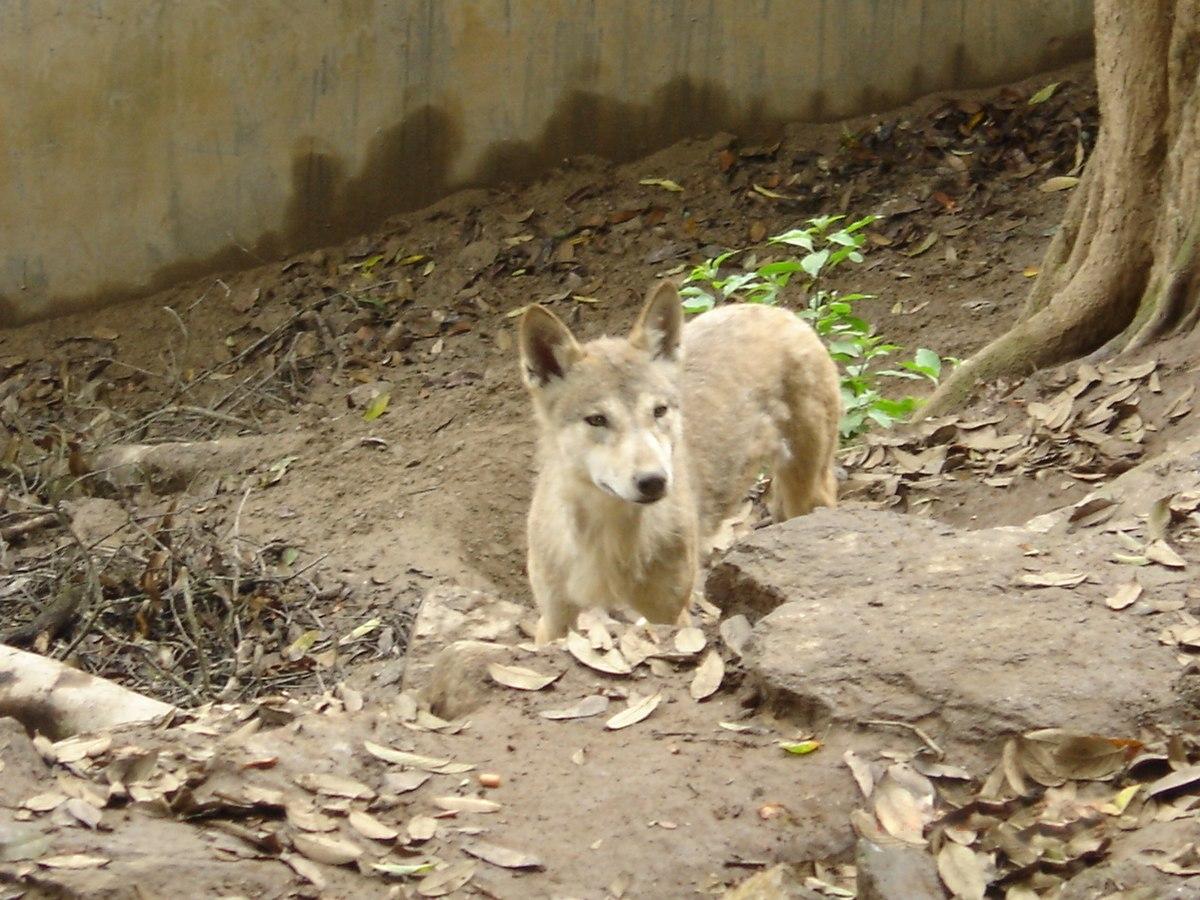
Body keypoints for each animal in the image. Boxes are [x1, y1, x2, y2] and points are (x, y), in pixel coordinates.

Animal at [518, 282, 844, 643]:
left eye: (659, 410)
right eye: (597, 419)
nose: (653, 480)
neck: (607, 545)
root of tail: (776, 309)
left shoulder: (671, 615)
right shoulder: (554, 620)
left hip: (806, 490)